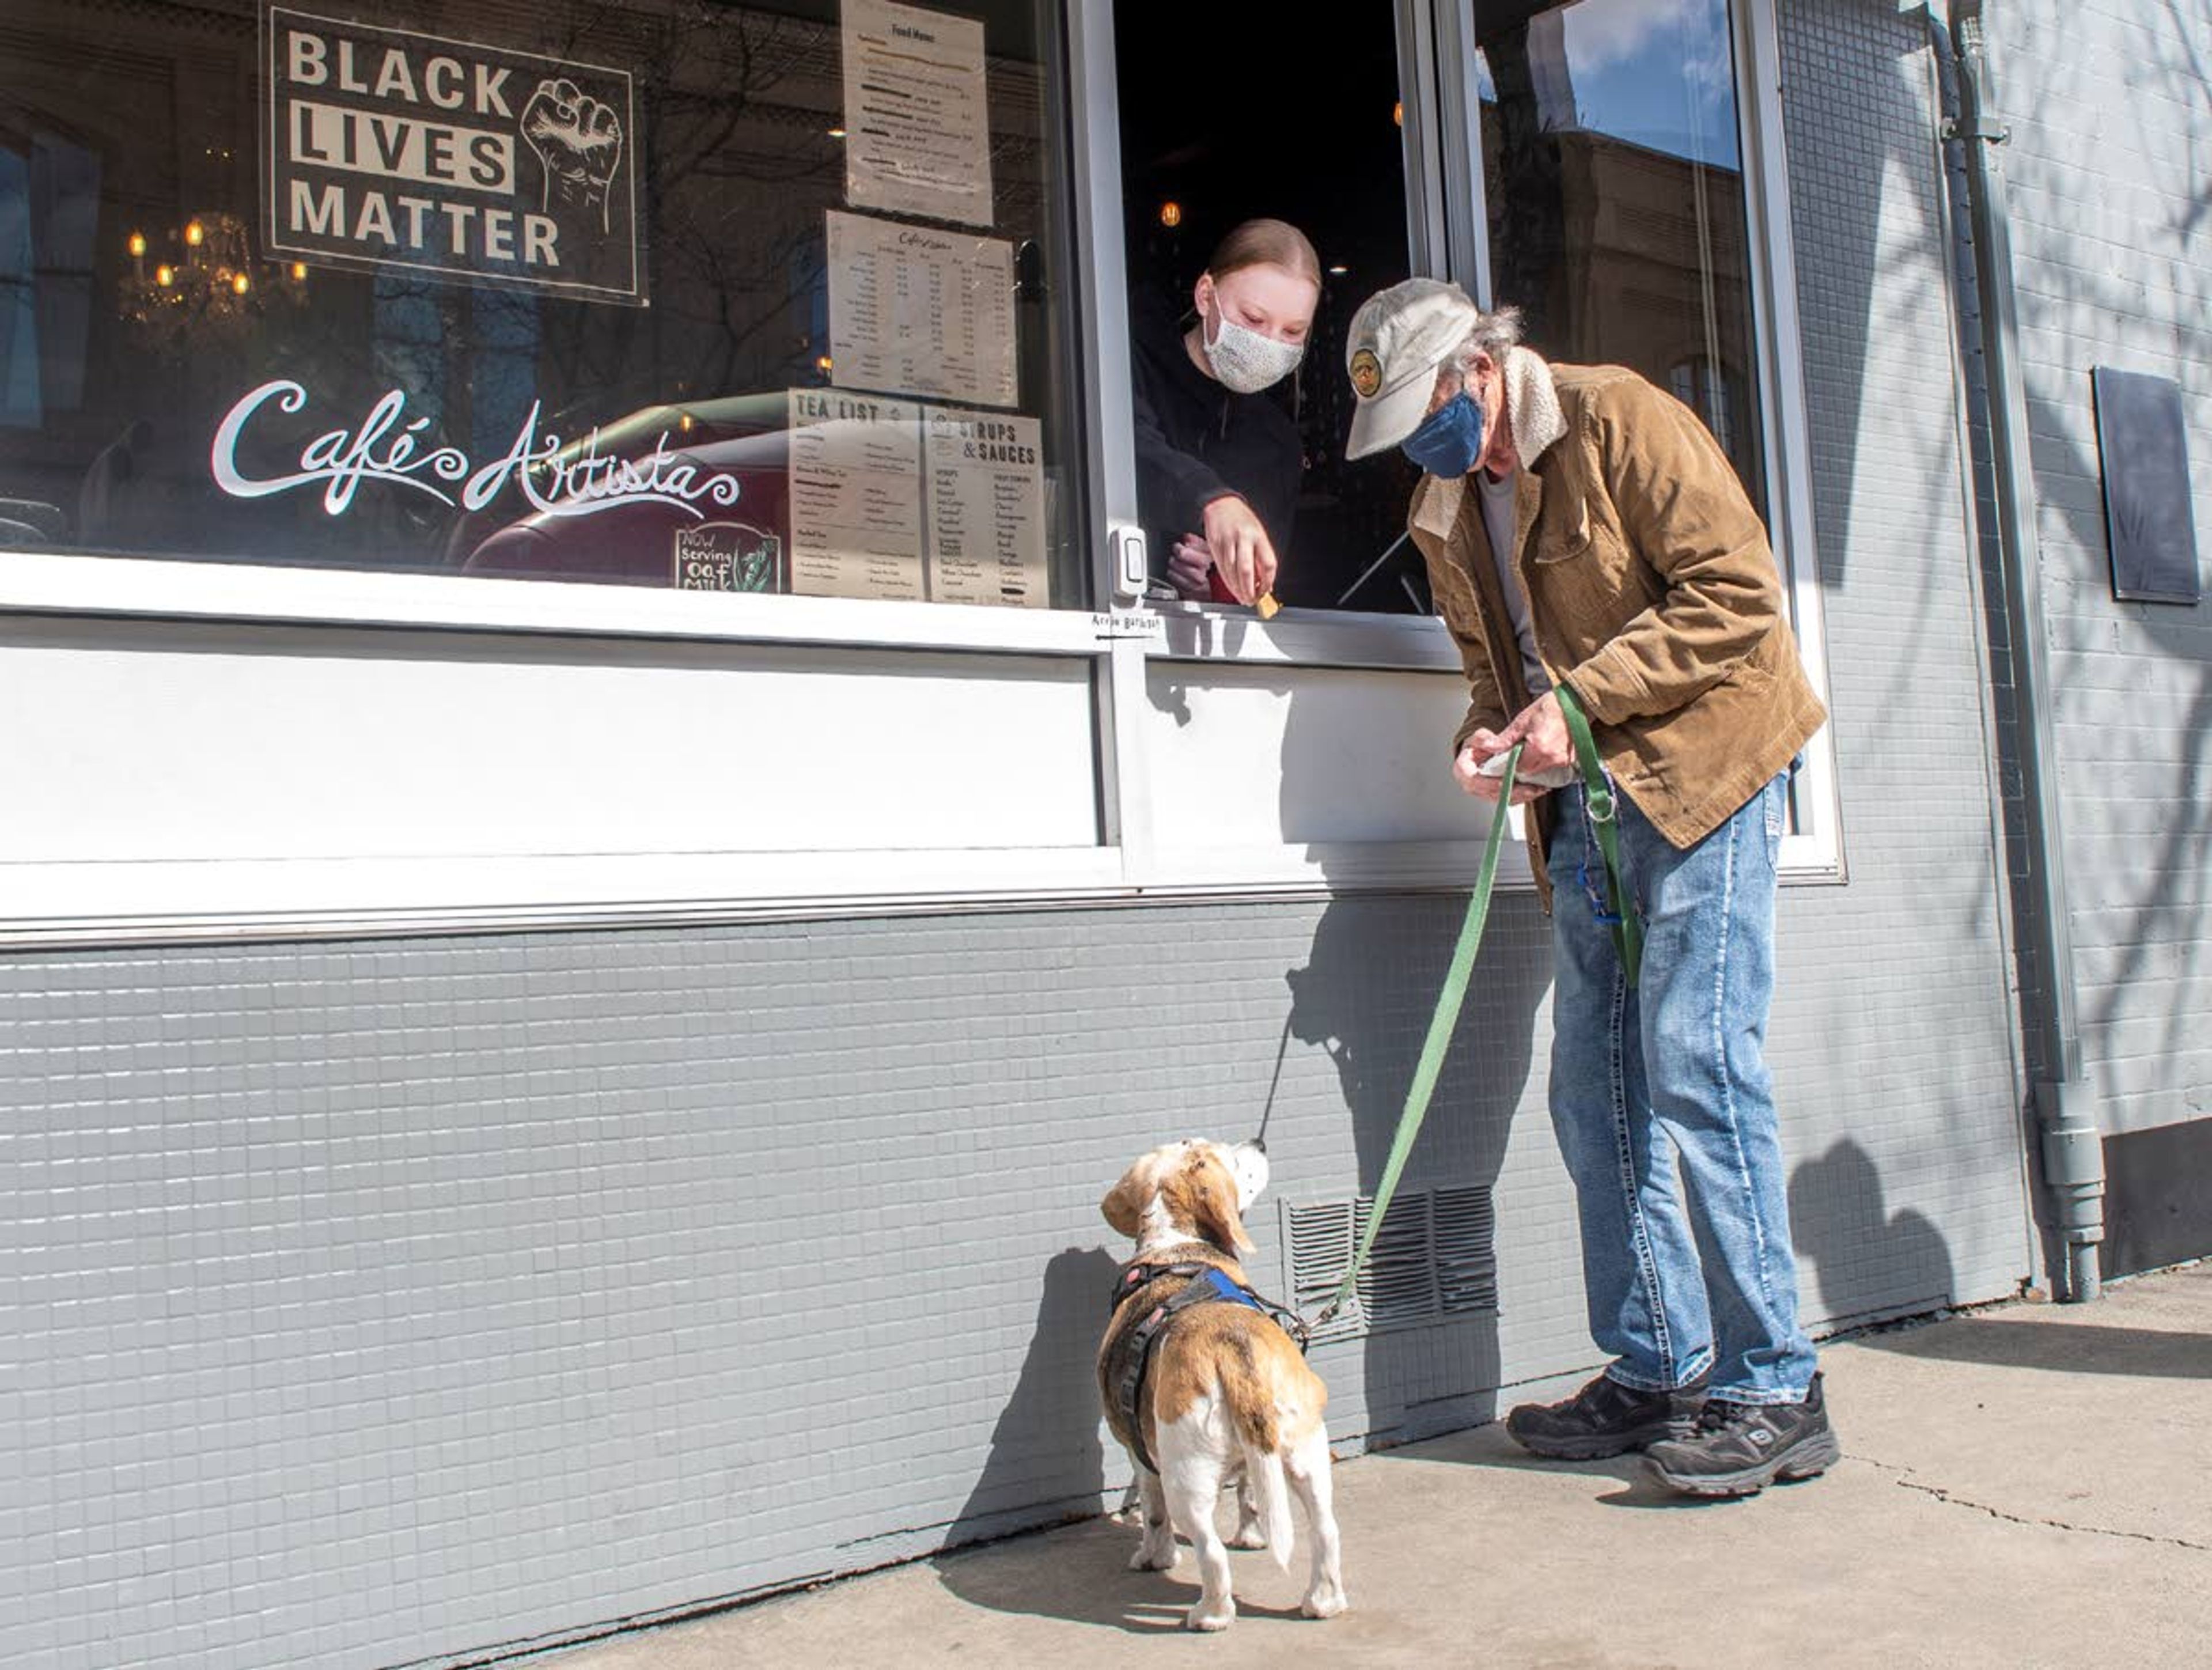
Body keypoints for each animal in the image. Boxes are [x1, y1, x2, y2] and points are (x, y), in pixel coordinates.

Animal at [1092, 1132, 1336, 1637]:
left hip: (1186, 1473)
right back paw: (1324, 1601)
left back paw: (1210, 1613)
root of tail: (1235, 1349)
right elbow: (1249, 1494)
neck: (1178, 1247)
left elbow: (1153, 1514)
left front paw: (1153, 1557)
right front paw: (1251, 1535)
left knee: (1210, 1551)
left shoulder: (1142, 1456)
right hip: (1308, 1454)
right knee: (1326, 1530)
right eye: (1231, 1156)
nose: (1259, 1141)